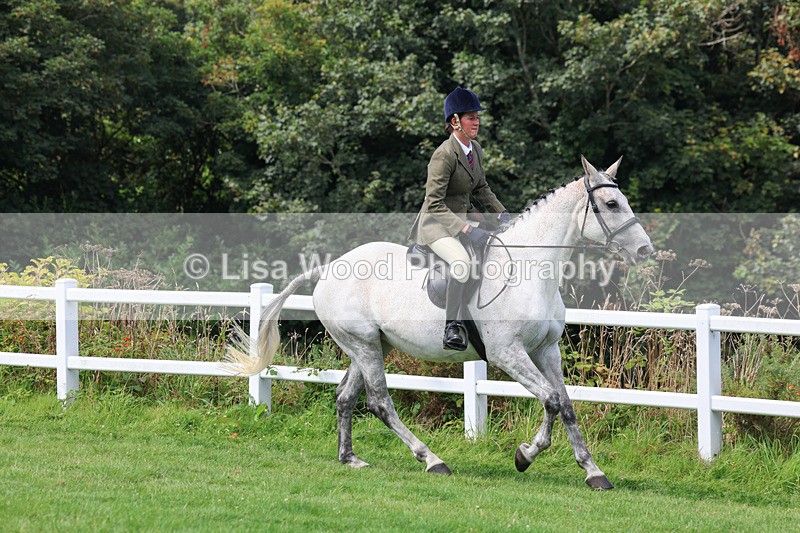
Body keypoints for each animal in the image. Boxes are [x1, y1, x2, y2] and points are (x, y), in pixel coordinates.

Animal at [224, 156, 653, 490]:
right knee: (380, 403)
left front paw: (593, 472)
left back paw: (351, 459)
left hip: (368, 346)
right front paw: (525, 455)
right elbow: (549, 400)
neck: (530, 268)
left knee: (346, 397)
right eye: (611, 203)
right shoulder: (508, 353)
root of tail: (329, 268)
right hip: (364, 345)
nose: (645, 250)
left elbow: (565, 405)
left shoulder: (546, 350)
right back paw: (431, 459)